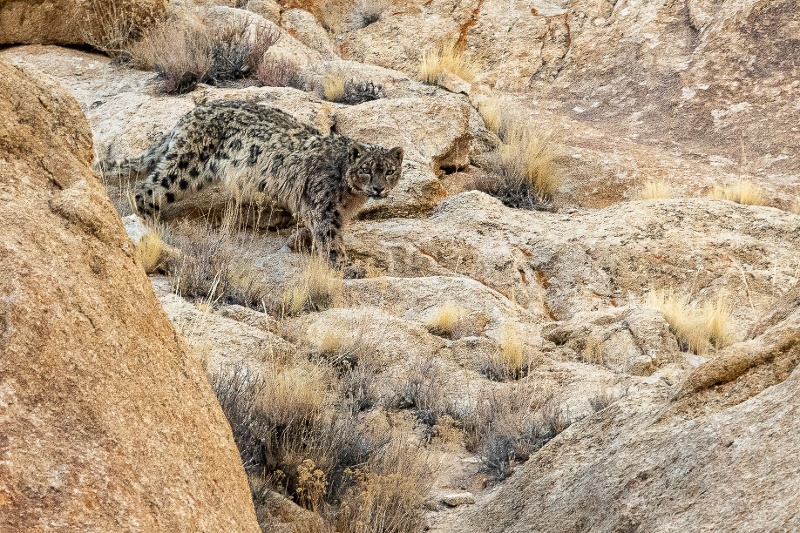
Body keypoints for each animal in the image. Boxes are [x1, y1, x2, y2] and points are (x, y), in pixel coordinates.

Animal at [99, 99, 404, 272]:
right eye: (366, 170)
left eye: (389, 171)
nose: (379, 188)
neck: (351, 199)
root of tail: (189, 115)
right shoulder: (325, 208)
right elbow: (330, 239)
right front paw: (346, 267)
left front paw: (301, 242)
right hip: (185, 169)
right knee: (145, 190)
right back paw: (150, 224)